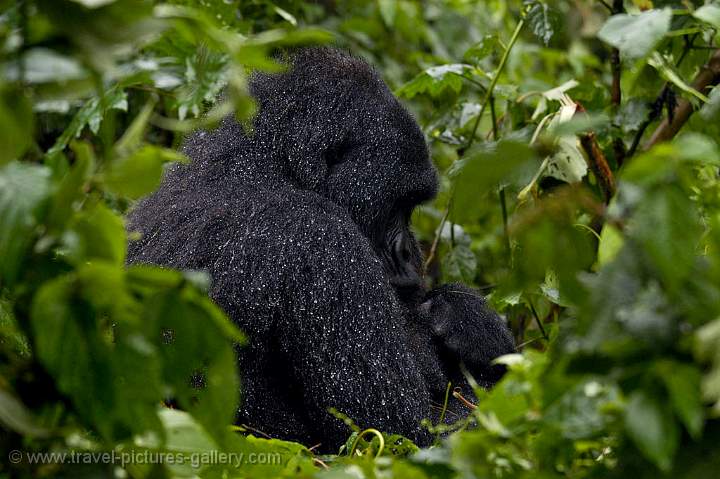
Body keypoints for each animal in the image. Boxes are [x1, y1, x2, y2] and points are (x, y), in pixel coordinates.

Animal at [126, 47, 516, 450]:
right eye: (398, 205)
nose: (410, 254)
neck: (254, 164)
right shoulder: (322, 237)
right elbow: (404, 431)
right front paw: (470, 323)